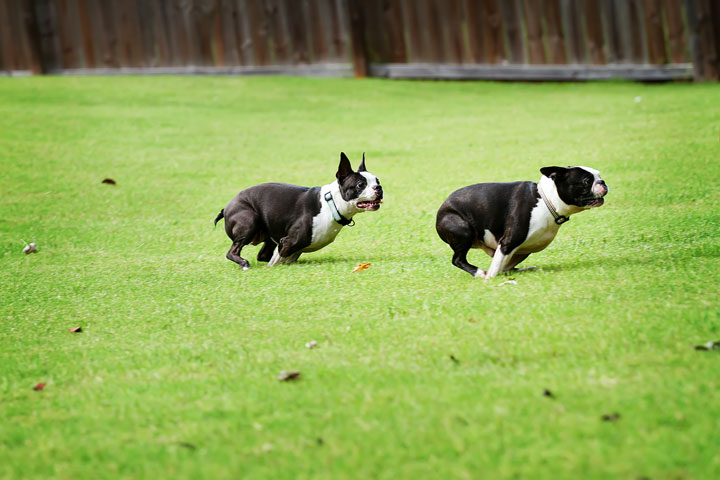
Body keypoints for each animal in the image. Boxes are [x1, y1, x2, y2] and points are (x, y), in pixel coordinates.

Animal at [214, 152, 382, 268]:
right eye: (360, 184)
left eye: (377, 181)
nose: (378, 188)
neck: (332, 203)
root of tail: (226, 208)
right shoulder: (288, 242)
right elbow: (275, 262)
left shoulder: (293, 248)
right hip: (249, 221)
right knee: (232, 251)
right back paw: (244, 263)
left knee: (262, 255)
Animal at [434, 165, 608, 278]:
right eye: (587, 181)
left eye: (599, 176)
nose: (603, 182)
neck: (547, 201)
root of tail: (440, 211)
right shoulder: (508, 242)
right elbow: (496, 268)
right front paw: (489, 278)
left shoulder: (522, 249)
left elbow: (504, 266)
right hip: (463, 230)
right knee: (457, 259)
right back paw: (478, 273)